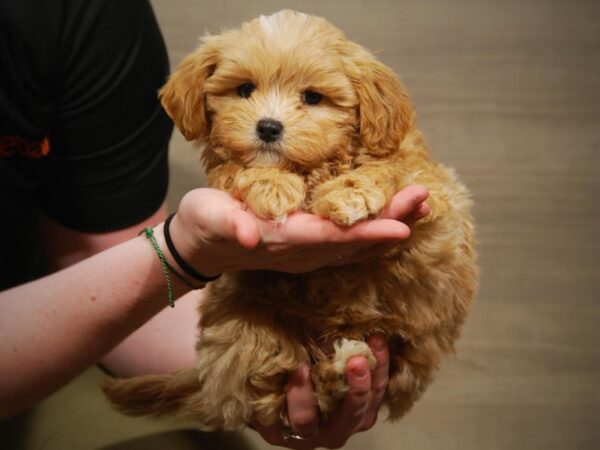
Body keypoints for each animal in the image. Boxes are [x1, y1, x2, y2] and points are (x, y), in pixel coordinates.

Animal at [103, 9, 478, 428]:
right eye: (245, 89)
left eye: (312, 97)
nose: (268, 127)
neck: (315, 167)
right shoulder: (227, 172)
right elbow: (237, 170)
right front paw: (272, 186)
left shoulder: (432, 188)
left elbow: (391, 167)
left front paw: (350, 192)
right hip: (244, 323)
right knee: (272, 394)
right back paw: (340, 372)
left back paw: (345, 367)